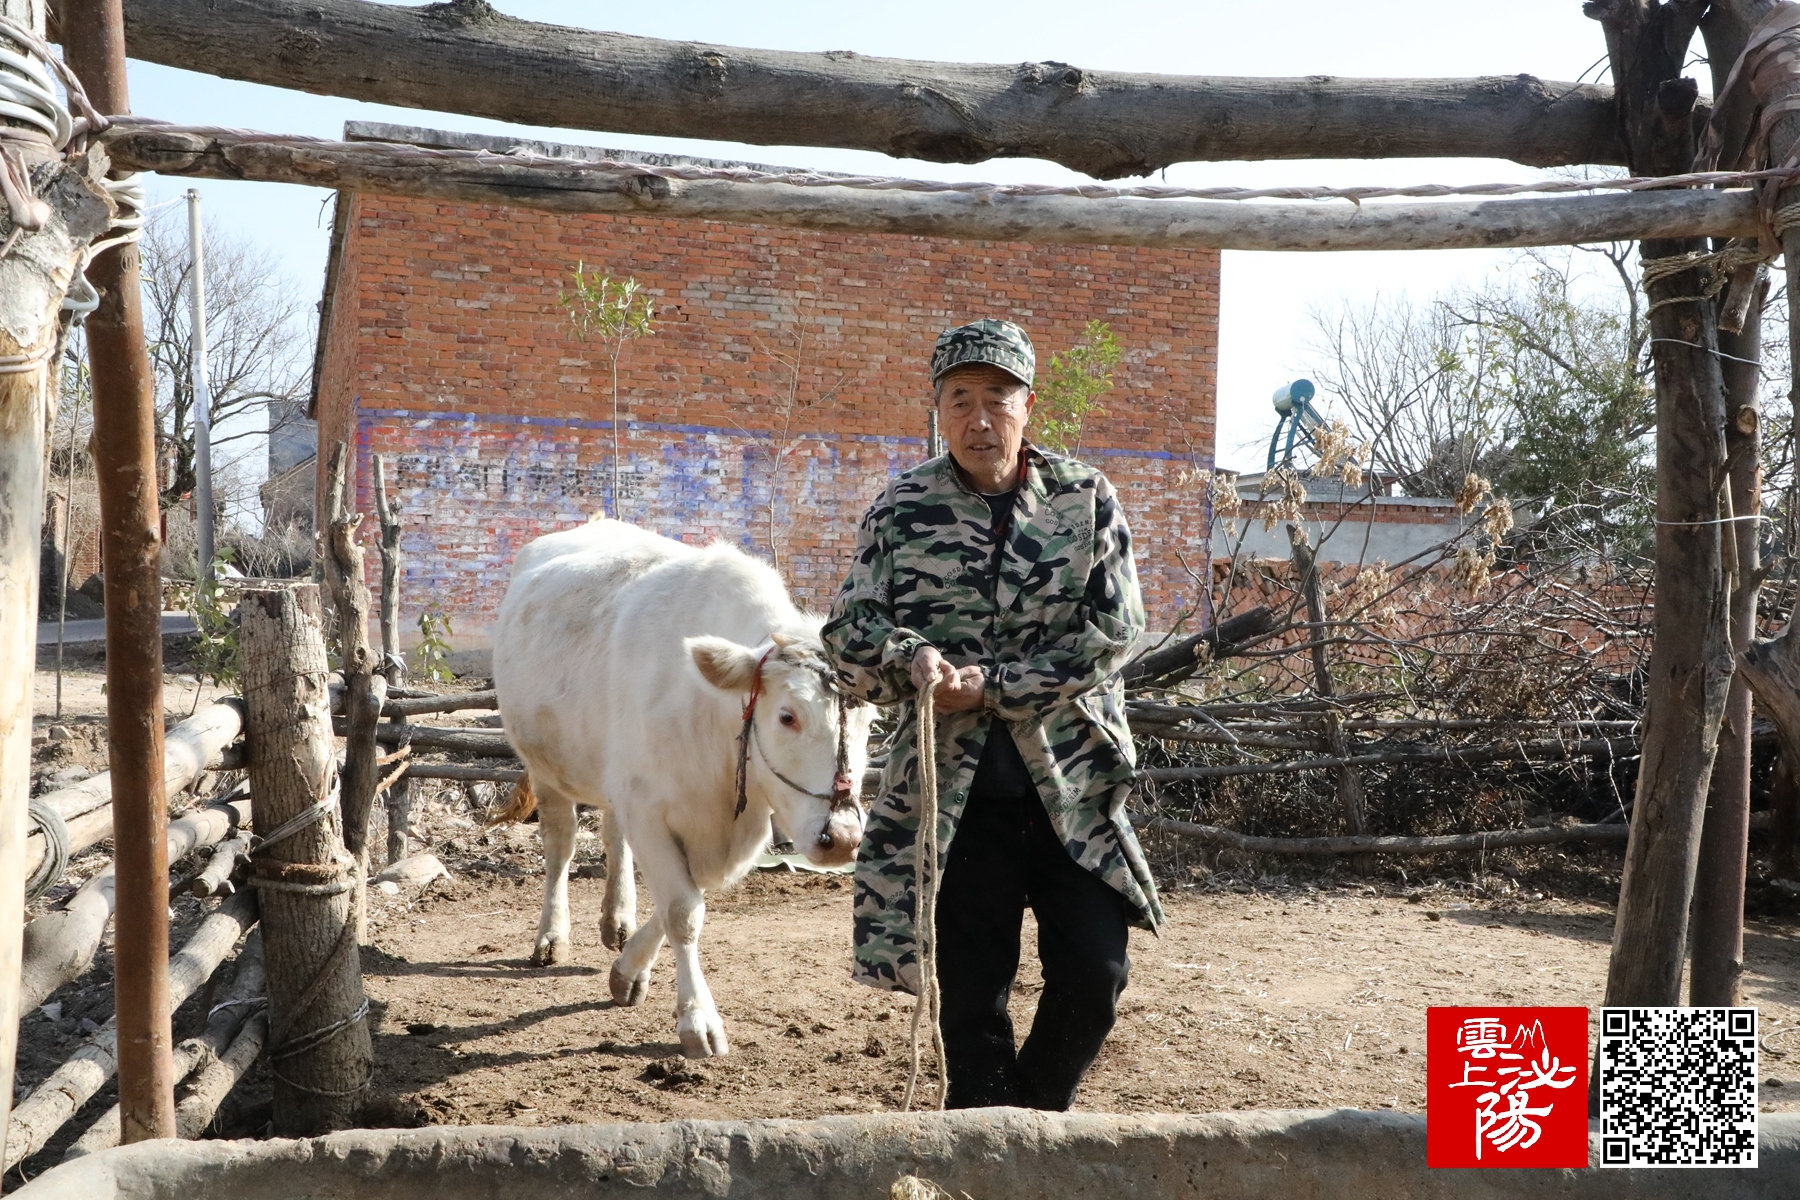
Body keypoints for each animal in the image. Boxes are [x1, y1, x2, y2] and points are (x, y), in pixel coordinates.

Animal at [493, 521, 871, 1057]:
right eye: (788, 716)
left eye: (870, 723)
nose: (842, 838)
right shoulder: (648, 808)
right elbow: (682, 910)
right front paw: (697, 1019)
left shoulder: (737, 827)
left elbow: (691, 893)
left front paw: (629, 969)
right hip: (545, 767)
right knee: (561, 846)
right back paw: (551, 935)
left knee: (614, 837)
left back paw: (617, 919)